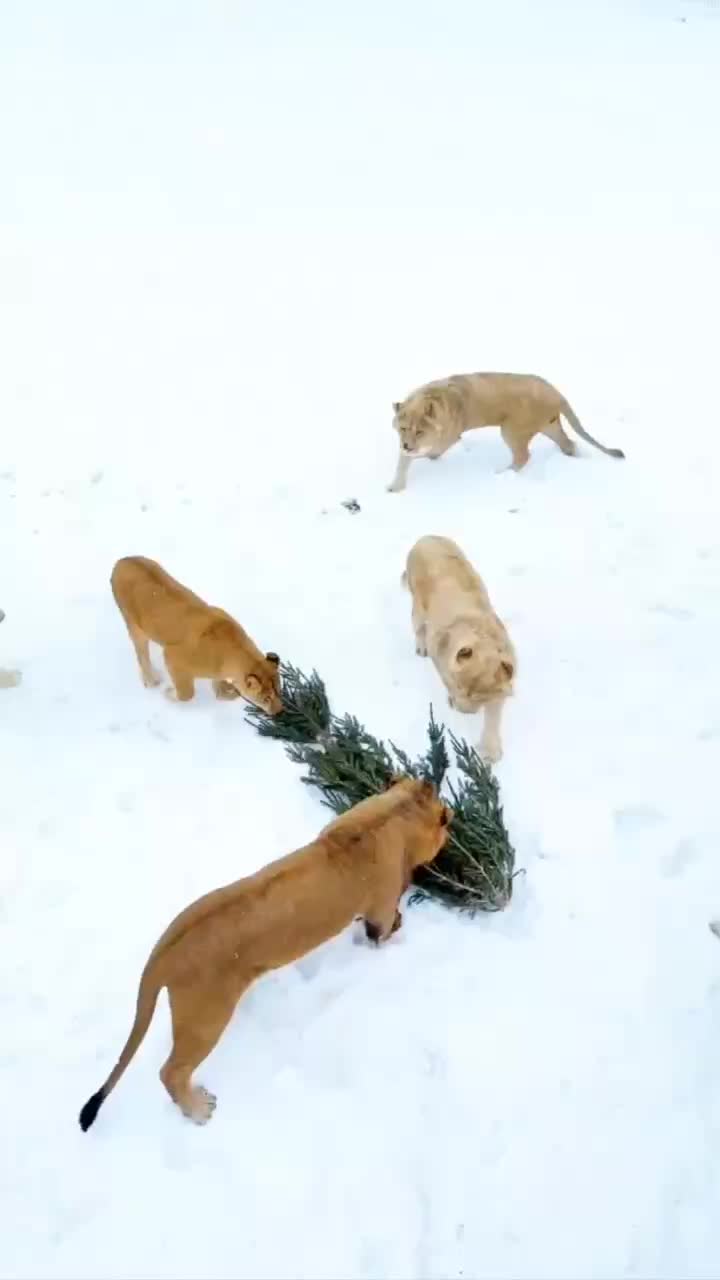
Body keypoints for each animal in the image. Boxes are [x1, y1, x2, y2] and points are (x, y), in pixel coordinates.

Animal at [77, 778, 448, 1131]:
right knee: (171, 1071)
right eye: (445, 817)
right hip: (205, 1019)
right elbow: (384, 929)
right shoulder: (379, 911)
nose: (451, 821)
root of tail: (162, 953)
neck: (391, 815)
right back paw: (197, 1109)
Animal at [110, 552, 281, 716]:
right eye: (266, 698)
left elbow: (222, 693)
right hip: (135, 627)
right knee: (142, 655)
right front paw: (169, 692)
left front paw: (228, 690)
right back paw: (152, 681)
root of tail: (122, 561)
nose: (279, 712)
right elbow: (186, 694)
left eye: (280, 692)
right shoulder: (172, 657)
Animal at [386, 373, 622, 491]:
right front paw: (395, 487)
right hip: (549, 425)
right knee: (569, 444)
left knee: (523, 456)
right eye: (404, 428)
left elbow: (429, 453)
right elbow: (402, 465)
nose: (407, 444)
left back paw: (503, 474)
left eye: (419, 431)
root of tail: (556, 393)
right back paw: (573, 457)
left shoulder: (449, 438)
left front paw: (427, 459)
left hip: (512, 430)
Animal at [399, 535, 512, 762]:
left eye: (477, 697)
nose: (463, 711)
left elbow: (493, 717)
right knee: (418, 626)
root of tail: (424, 538)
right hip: (417, 606)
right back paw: (421, 647)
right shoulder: (442, 662)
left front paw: (490, 753)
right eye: (459, 688)